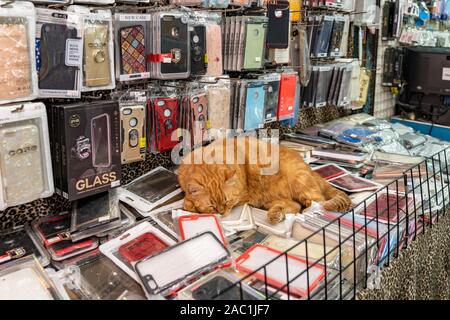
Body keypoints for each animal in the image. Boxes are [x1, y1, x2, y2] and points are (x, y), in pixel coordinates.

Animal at [178, 136, 354, 224]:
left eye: (227, 202)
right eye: (212, 206)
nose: (222, 213)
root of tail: (309, 168)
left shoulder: (243, 197)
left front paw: (190, 204)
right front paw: (190, 203)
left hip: (300, 183)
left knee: (318, 203)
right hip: (269, 200)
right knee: (295, 206)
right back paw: (276, 214)